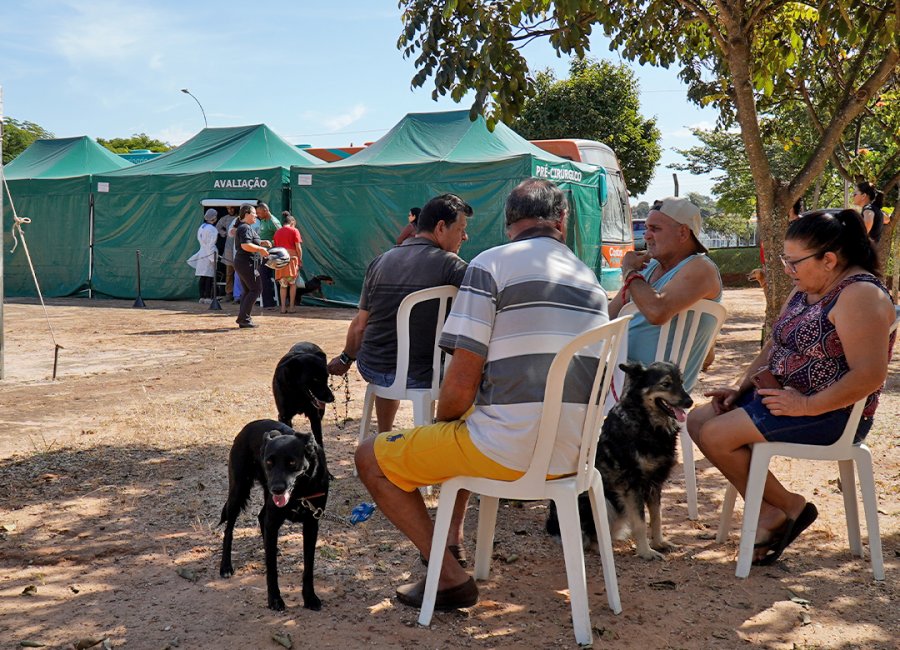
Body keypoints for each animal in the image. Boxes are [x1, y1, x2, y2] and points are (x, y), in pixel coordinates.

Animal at [220, 418, 332, 612]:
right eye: (269, 462)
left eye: (292, 463)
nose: (277, 489)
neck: (300, 491)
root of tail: (248, 426)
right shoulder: (273, 521)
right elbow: (271, 569)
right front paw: (274, 599)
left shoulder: (311, 524)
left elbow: (308, 566)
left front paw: (309, 597)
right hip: (239, 490)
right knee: (229, 529)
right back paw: (225, 566)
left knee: (260, 516)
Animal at [544, 360, 692, 556]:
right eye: (666, 384)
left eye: (681, 382)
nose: (689, 402)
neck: (645, 421)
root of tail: (552, 526)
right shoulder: (632, 485)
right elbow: (640, 523)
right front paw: (646, 552)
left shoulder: (655, 484)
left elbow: (657, 518)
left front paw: (659, 543)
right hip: (605, 502)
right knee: (589, 539)